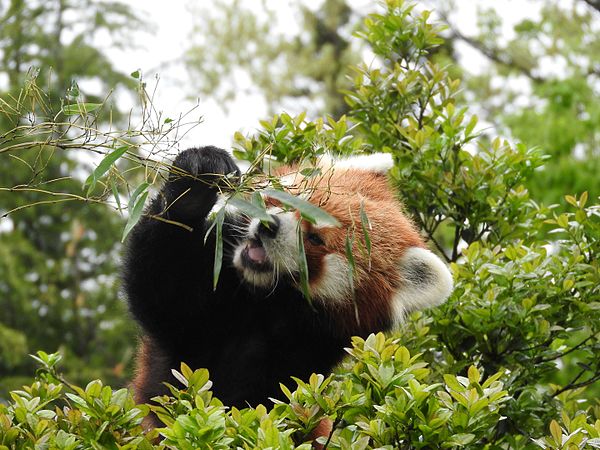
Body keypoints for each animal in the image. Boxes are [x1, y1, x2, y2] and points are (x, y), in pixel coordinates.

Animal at [125, 147, 454, 440]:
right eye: (293, 198)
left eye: (315, 238)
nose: (268, 225)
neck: (260, 301)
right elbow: (163, 286)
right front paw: (198, 181)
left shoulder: (299, 358)